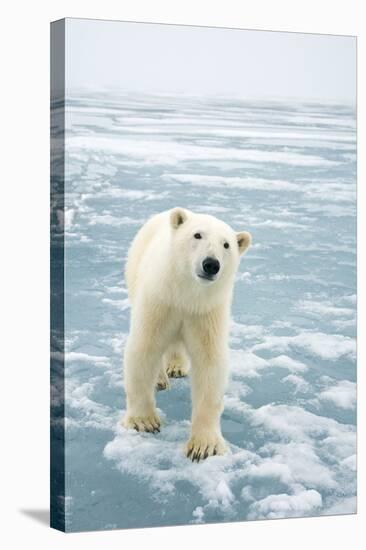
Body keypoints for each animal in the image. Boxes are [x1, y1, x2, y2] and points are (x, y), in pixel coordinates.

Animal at [123, 209, 252, 464]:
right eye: (197, 235)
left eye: (226, 244)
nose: (211, 264)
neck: (186, 295)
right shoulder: (160, 300)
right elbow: (144, 348)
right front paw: (144, 421)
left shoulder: (206, 312)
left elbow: (209, 364)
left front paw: (204, 445)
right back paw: (160, 378)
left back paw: (176, 367)